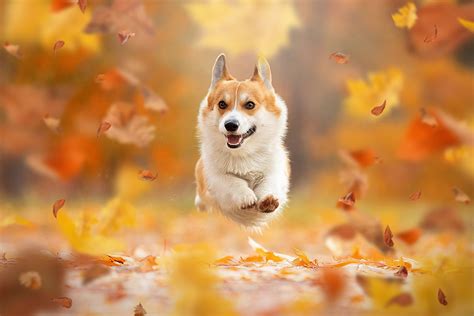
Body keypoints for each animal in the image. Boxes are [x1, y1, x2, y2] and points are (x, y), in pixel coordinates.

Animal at [195, 54, 290, 227]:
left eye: (250, 104)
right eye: (222, 104)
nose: (231, 125)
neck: (243, 153)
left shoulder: (277, 171)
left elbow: (269, 182)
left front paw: (268, 200)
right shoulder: (213, 176)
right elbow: (231, 180)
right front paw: (245, 196)